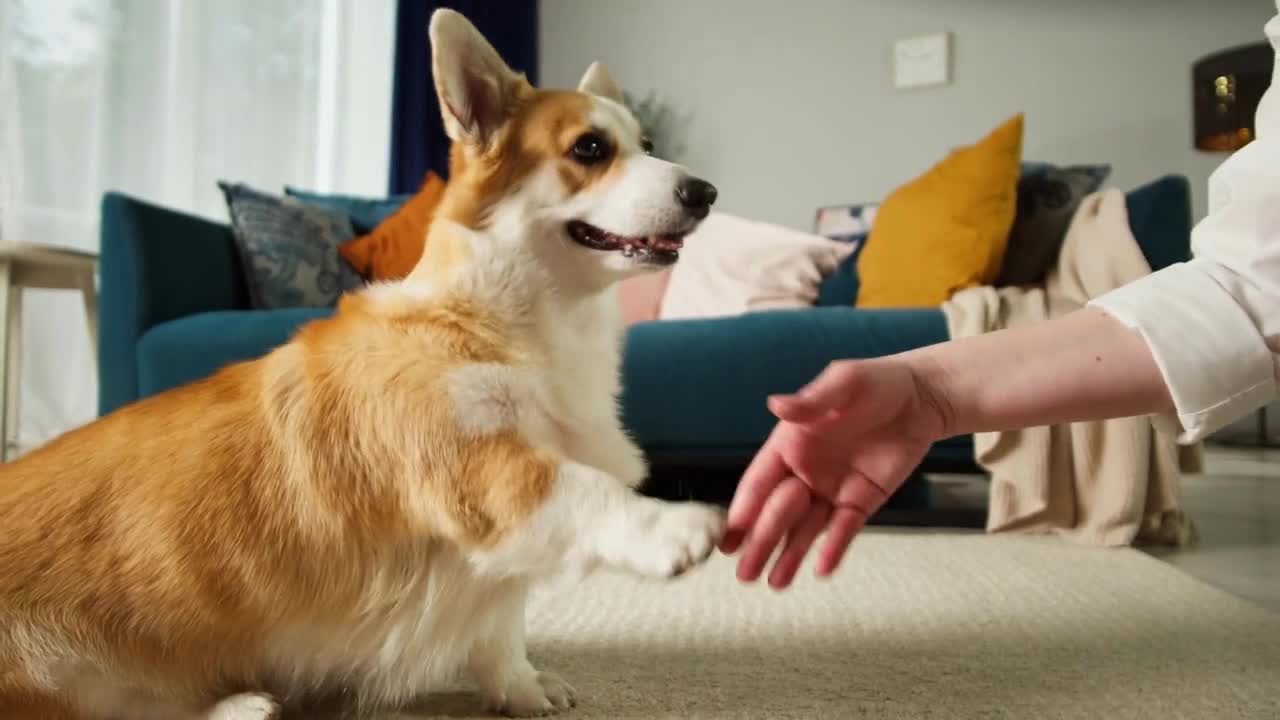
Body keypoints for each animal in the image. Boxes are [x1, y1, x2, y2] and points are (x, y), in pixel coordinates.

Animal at [0, 9, 721, 717]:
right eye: (589, 149)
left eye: (647, 143)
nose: (707, 192)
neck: (516, 319)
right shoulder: (470, 464)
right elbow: (584, 489)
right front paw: (673, 526)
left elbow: (501, 630)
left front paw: (524, 690)